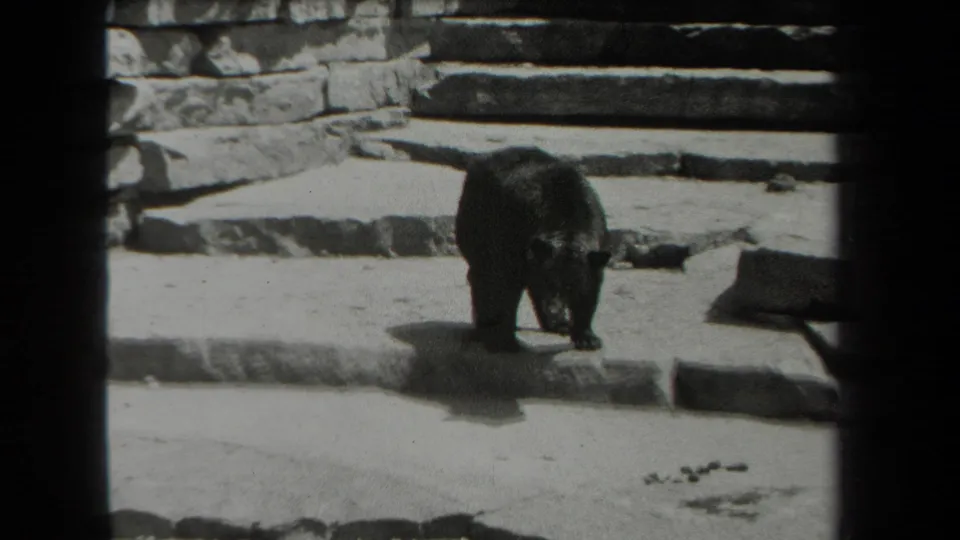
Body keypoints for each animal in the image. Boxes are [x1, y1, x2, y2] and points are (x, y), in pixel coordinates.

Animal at [454, 146, 612, 353]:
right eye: (549, 282)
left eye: (570, 286)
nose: (554, 308)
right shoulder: (514, 230)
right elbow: (504, 280)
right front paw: (504, 341)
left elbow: (590, 289)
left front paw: (587, 338)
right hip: (475, 219)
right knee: (480, 272)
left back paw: (557, 323)